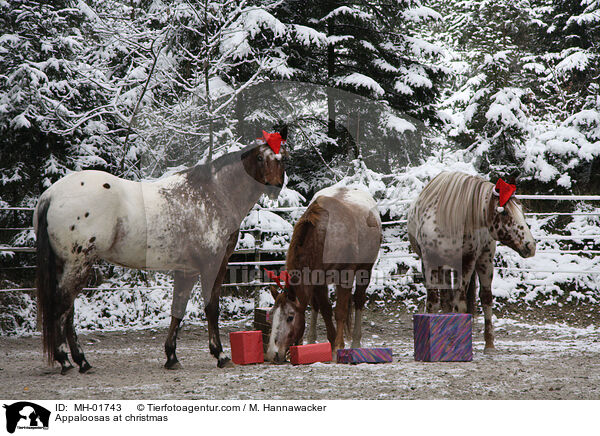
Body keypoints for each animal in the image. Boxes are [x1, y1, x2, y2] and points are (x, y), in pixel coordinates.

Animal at [34, 125, 288, 372]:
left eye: (283, 157)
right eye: (260, 159)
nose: (275, 187)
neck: (213, 195)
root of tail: (52, 195)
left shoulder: (186, 270)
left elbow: (178, 309)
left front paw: (172, 356)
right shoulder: (212, 266)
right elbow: (211, 307)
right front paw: (220, 354)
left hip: (67, 266)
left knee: (67, 310)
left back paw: (80, 361)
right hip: (79, 264)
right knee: (62, 307)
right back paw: (68, 360)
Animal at [266, 186, 382, 362]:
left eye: (290, 317)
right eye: (272, 316)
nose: (273, 354)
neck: (325, 237)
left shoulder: (346, 275)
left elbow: (340, 311)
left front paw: (338, 346)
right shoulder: (318, 280)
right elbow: (325, 310)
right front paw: (331, 343)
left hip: (365, 269)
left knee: (359, 300)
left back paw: (355, 343)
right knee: (315, 306)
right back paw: (311, 340)